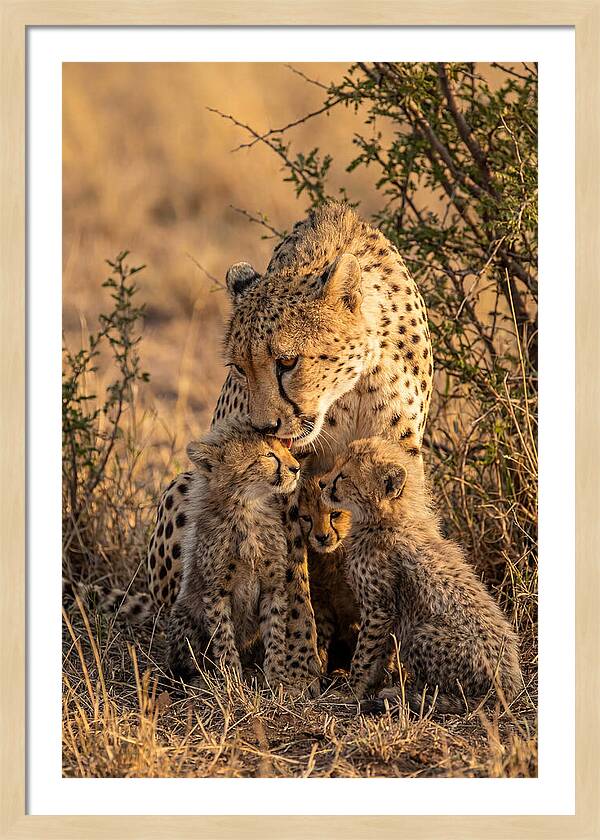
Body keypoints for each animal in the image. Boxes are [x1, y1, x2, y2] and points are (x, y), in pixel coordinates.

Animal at [166, 420, 301, 690]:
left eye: (284, 449)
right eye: (268, 455)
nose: (296, 468)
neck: (247, 509)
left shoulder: (273, 586)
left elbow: (275, 632)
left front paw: (276, 678)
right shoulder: (216, 592)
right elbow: (223, 636)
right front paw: (231, 680)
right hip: (185, 615)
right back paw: (199, 678)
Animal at [319, 437, 522, 715]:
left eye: (343, 476)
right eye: (336, 466)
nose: (321, 483)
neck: (388, 519)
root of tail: (509, 687)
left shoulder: (379, 608)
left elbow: (365, 654)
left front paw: (352, 691)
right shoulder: (387, 613)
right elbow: (380, 653)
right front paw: (371, 684)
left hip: (422, 633)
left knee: (446, 692)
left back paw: (405, 695)